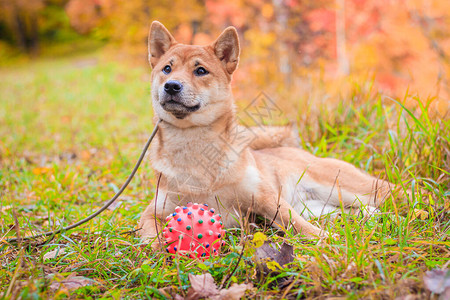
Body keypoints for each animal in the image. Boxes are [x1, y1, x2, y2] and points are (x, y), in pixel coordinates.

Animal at [139, 21, 392, 241]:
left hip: (348, 187)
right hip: (319, 206)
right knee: (349, 210)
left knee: (391, 190)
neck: (195, 146)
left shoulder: (265, 197)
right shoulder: (153, 212)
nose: (171, 86)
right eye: (167, 69)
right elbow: (152, 236)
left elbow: (296, 222)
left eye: (200, 71)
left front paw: (325, 239)